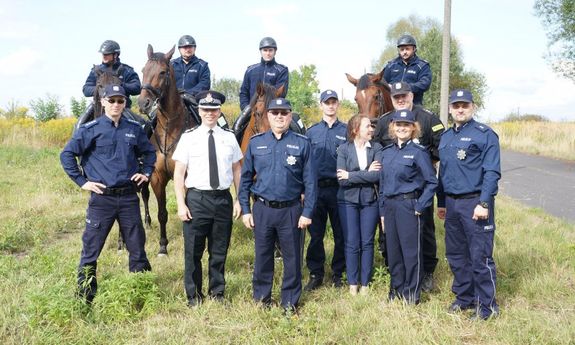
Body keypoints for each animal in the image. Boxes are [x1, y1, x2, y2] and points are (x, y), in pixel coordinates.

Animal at [138, 43, 197, 255]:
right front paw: (163, 246)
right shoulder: (157, 177)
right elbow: (162, 213)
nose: (143, 103)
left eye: (162, 72)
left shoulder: (186, 177)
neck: (170, 130)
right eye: (143, 70)